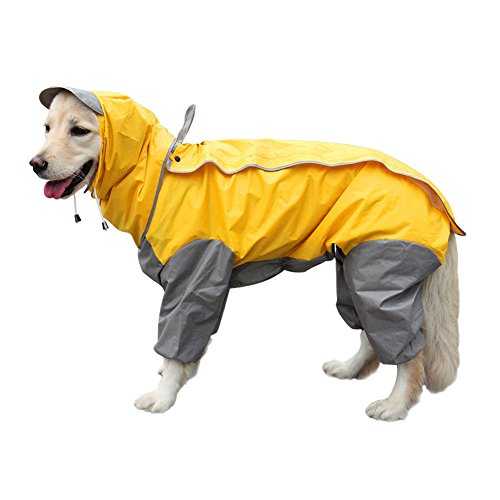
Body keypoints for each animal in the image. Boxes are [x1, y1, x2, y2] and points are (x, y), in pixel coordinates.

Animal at [31, 88, 461, 421]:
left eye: (80, 130)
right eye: (47, 128)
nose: (35, 164)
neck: (159, 175)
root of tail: (432, 188)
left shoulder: (193, 276)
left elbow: (175, 342)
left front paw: (164, 396)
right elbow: (186, 350)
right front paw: (179, 377)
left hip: (379, 269)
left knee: (409, 351)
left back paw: (395, 405)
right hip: (356, 269)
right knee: (373, 333)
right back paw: (350, 368)